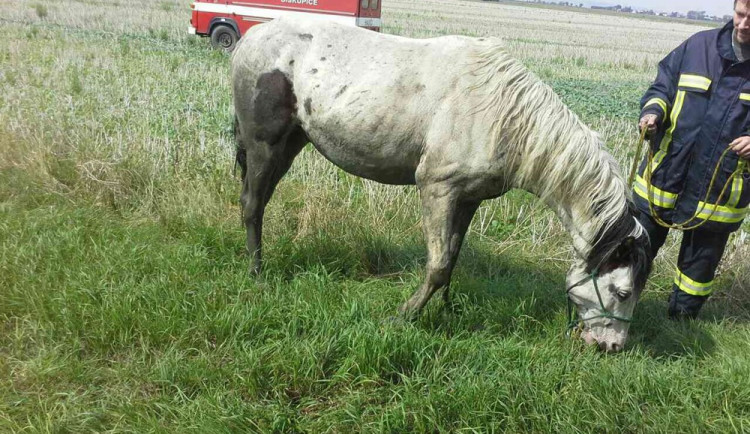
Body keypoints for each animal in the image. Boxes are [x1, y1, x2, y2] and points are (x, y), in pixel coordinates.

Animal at [234, 17, 652, 352]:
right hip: (264, 145)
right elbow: (436, 265)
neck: (505, 115)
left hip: (291, 144)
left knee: (258, 201)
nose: (613, 347)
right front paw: (404, 316)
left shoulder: (468, 199)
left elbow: (451, 258)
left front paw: (448, 310)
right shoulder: (437, 189)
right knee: (252, 205)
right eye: (622, 291)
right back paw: (257, 275)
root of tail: (250, 37)